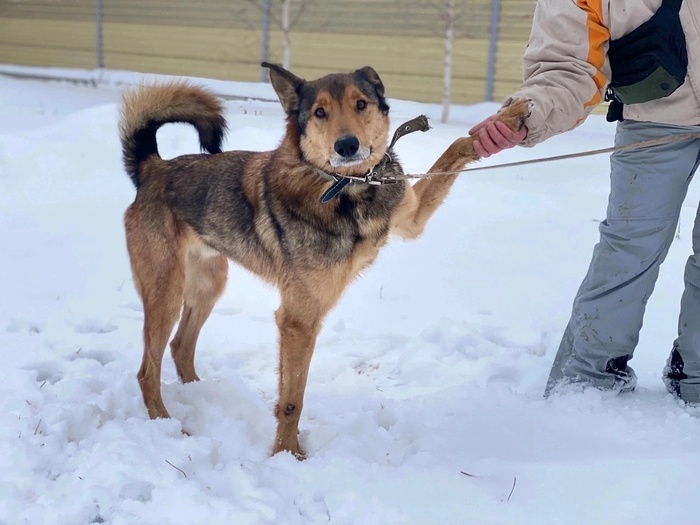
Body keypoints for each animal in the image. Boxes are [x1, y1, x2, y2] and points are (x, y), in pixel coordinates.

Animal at [119, 63, 529, 458]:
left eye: (361, 104)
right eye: (319, 112)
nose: (347, 145)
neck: (350, 186)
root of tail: (153, 168)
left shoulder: (410, 218)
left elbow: (456, 146)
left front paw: (506, 120)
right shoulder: (298, 321)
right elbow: (292, 401)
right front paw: (287, 455)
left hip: (208, 285)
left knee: (181, 346)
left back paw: (203, 396)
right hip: (166, 294)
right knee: (146, 370)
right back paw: (166, 424)